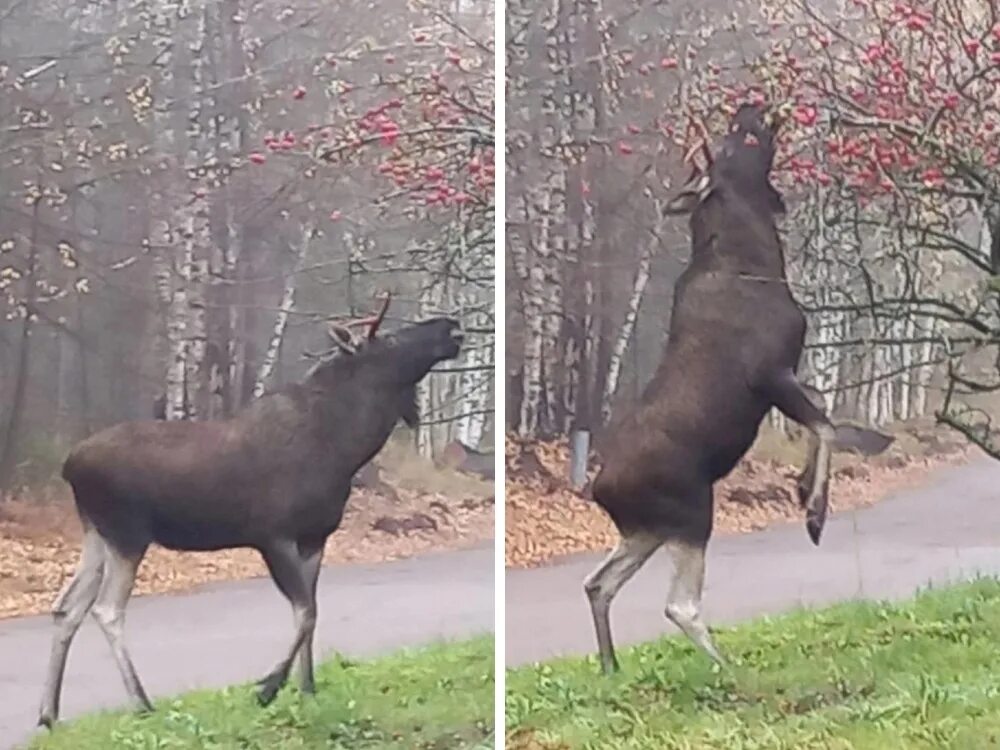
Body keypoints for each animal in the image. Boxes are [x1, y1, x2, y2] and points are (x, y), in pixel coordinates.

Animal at [35, 294, 464, 728]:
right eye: (389, 340)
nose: (450, 326)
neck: (343, 447)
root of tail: (69, 466)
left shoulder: (315, 536)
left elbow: (312, 612)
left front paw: (308, 689)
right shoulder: (273, 535)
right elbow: (305, 612)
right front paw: (269, 687)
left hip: (96, 533)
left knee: (66, 608)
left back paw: (48, 714)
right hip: (127, 533)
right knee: (106, 609)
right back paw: (140, 702)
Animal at [584, 104, 896, 676]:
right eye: (734, 145)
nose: (752, 108)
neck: (759, 264)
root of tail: (601, 490)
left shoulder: (785, 376)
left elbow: (823, 413)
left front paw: (808, 485)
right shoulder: (770, 374)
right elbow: (824, 421)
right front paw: (813, 510)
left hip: (647, 528)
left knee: (599, 583)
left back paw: (612, 667)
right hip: (689, 511)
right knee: (678, 605)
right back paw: (725, 667)